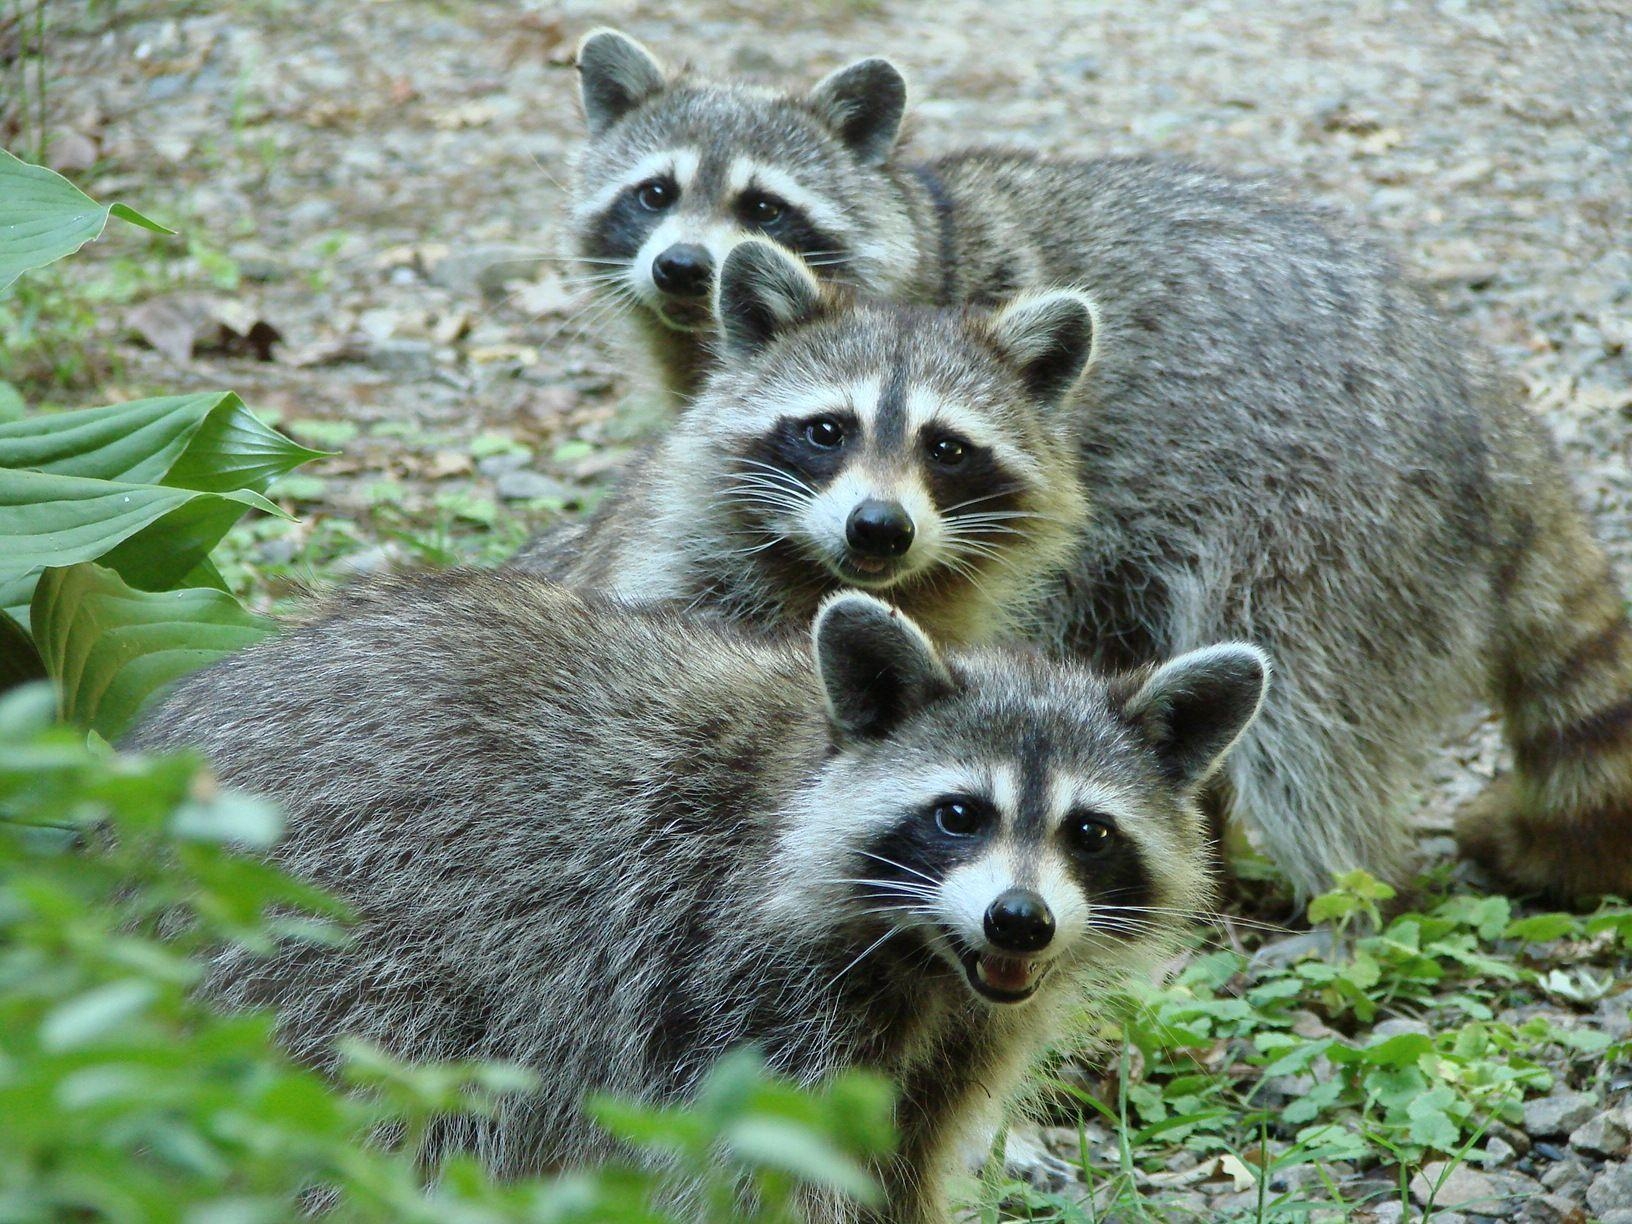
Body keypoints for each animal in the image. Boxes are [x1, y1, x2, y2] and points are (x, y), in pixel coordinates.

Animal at [133, 577, 1266, 1224]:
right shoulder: (738, 986)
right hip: (330, 961)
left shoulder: (958, 1041)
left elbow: (903, 1165)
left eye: (1088, 832)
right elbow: (768, 1177)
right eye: (959, 815)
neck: (924, 957)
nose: (1019, 920)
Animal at [518, 241, 1632, 913]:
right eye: (825, 431)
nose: (879, 528)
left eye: (947, 448)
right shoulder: (677, 585)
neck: (849, 578)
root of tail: (1488, 401)